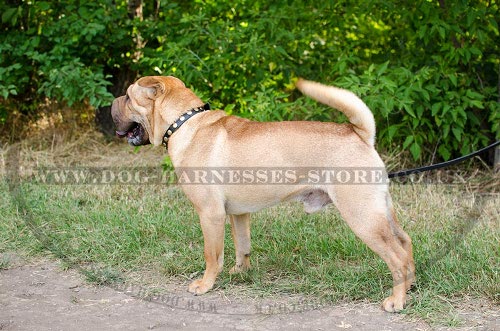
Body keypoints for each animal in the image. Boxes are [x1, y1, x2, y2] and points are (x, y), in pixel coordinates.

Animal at [111, 76, 416, 312]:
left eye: (127, 97)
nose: (110, 103)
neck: (184, 122)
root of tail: (360, 133)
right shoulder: (238, 213)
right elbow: (242, 246)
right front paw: (240, 272)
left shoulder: (210, 214)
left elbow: (212, 255)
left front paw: (205, 285)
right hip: (380, 212)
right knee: (406, 243)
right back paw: (409, 286)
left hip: (362, 217)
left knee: (396, 258)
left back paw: (396, 301)